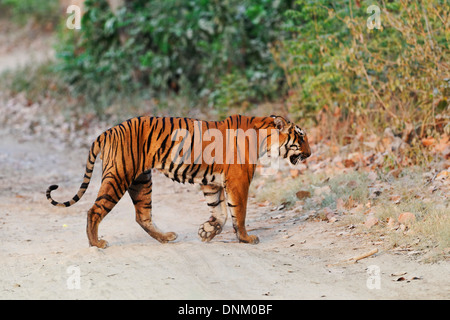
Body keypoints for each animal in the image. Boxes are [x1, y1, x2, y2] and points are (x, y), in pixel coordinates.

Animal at [47, 115, 312, 248]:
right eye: (300, 138)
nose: (310, 154)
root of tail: (108, 131)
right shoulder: (238, 181)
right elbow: (239, 213)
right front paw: (246, 238)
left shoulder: (212, 182)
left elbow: (220, 212)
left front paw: (207, 232)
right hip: (119, 176)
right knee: (94, 210)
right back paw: (96, 243)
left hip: (141, 180)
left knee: (142, 215)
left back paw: (165, 238)